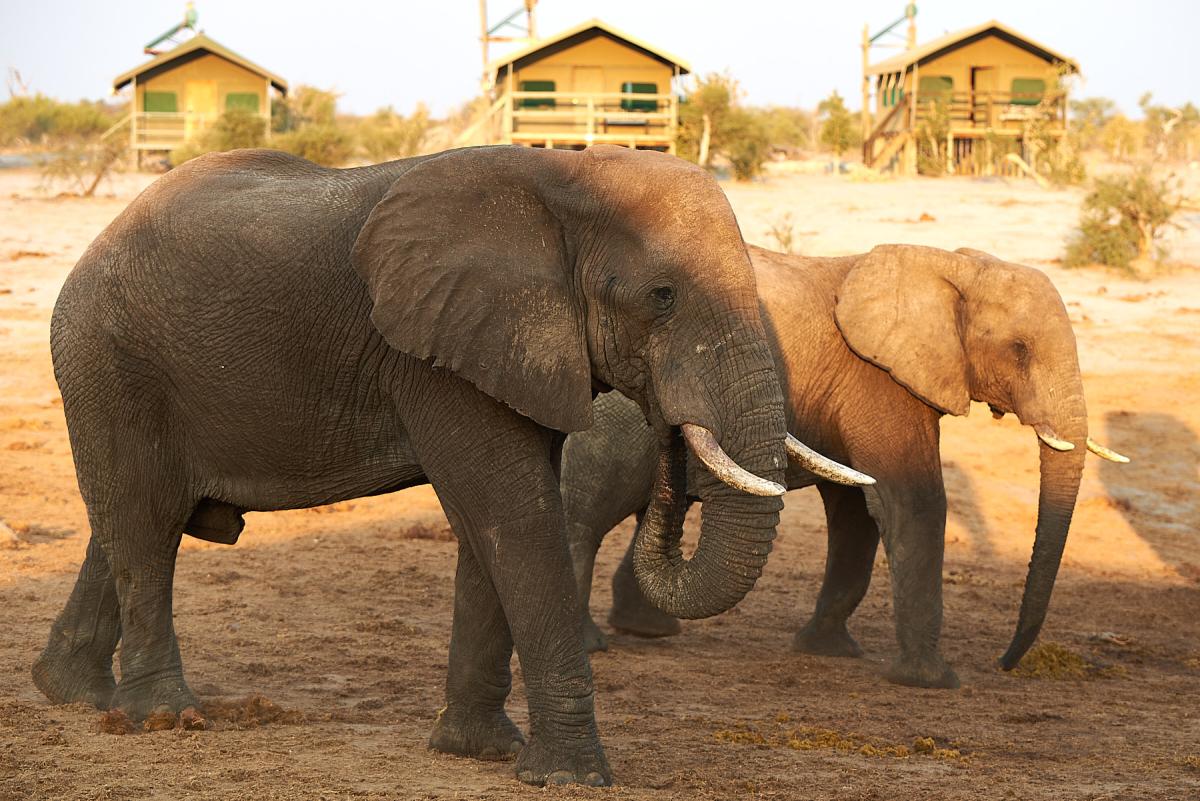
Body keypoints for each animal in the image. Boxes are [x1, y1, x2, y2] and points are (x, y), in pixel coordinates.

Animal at [32, 145, 864, 786]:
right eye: (661, 296)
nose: (668, 435)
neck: (565, 179)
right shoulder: (433, 351)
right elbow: (512, 511)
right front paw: (571, 776)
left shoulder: (508, 346)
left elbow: (487, 523)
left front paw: (479, 751)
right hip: (111, 357)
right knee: (144, 521)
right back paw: (163, 716)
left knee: (129, 521)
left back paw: (72, 693)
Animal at [561, 242, 1123, 690]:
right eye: (1020, 350)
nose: (1005, 664)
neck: (949, 265)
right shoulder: (878, 383)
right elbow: (912, 502)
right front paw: (931, 682)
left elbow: (856, 513)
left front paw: (826, 650)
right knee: (588, 517)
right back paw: (591, 644)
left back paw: (647, 631)